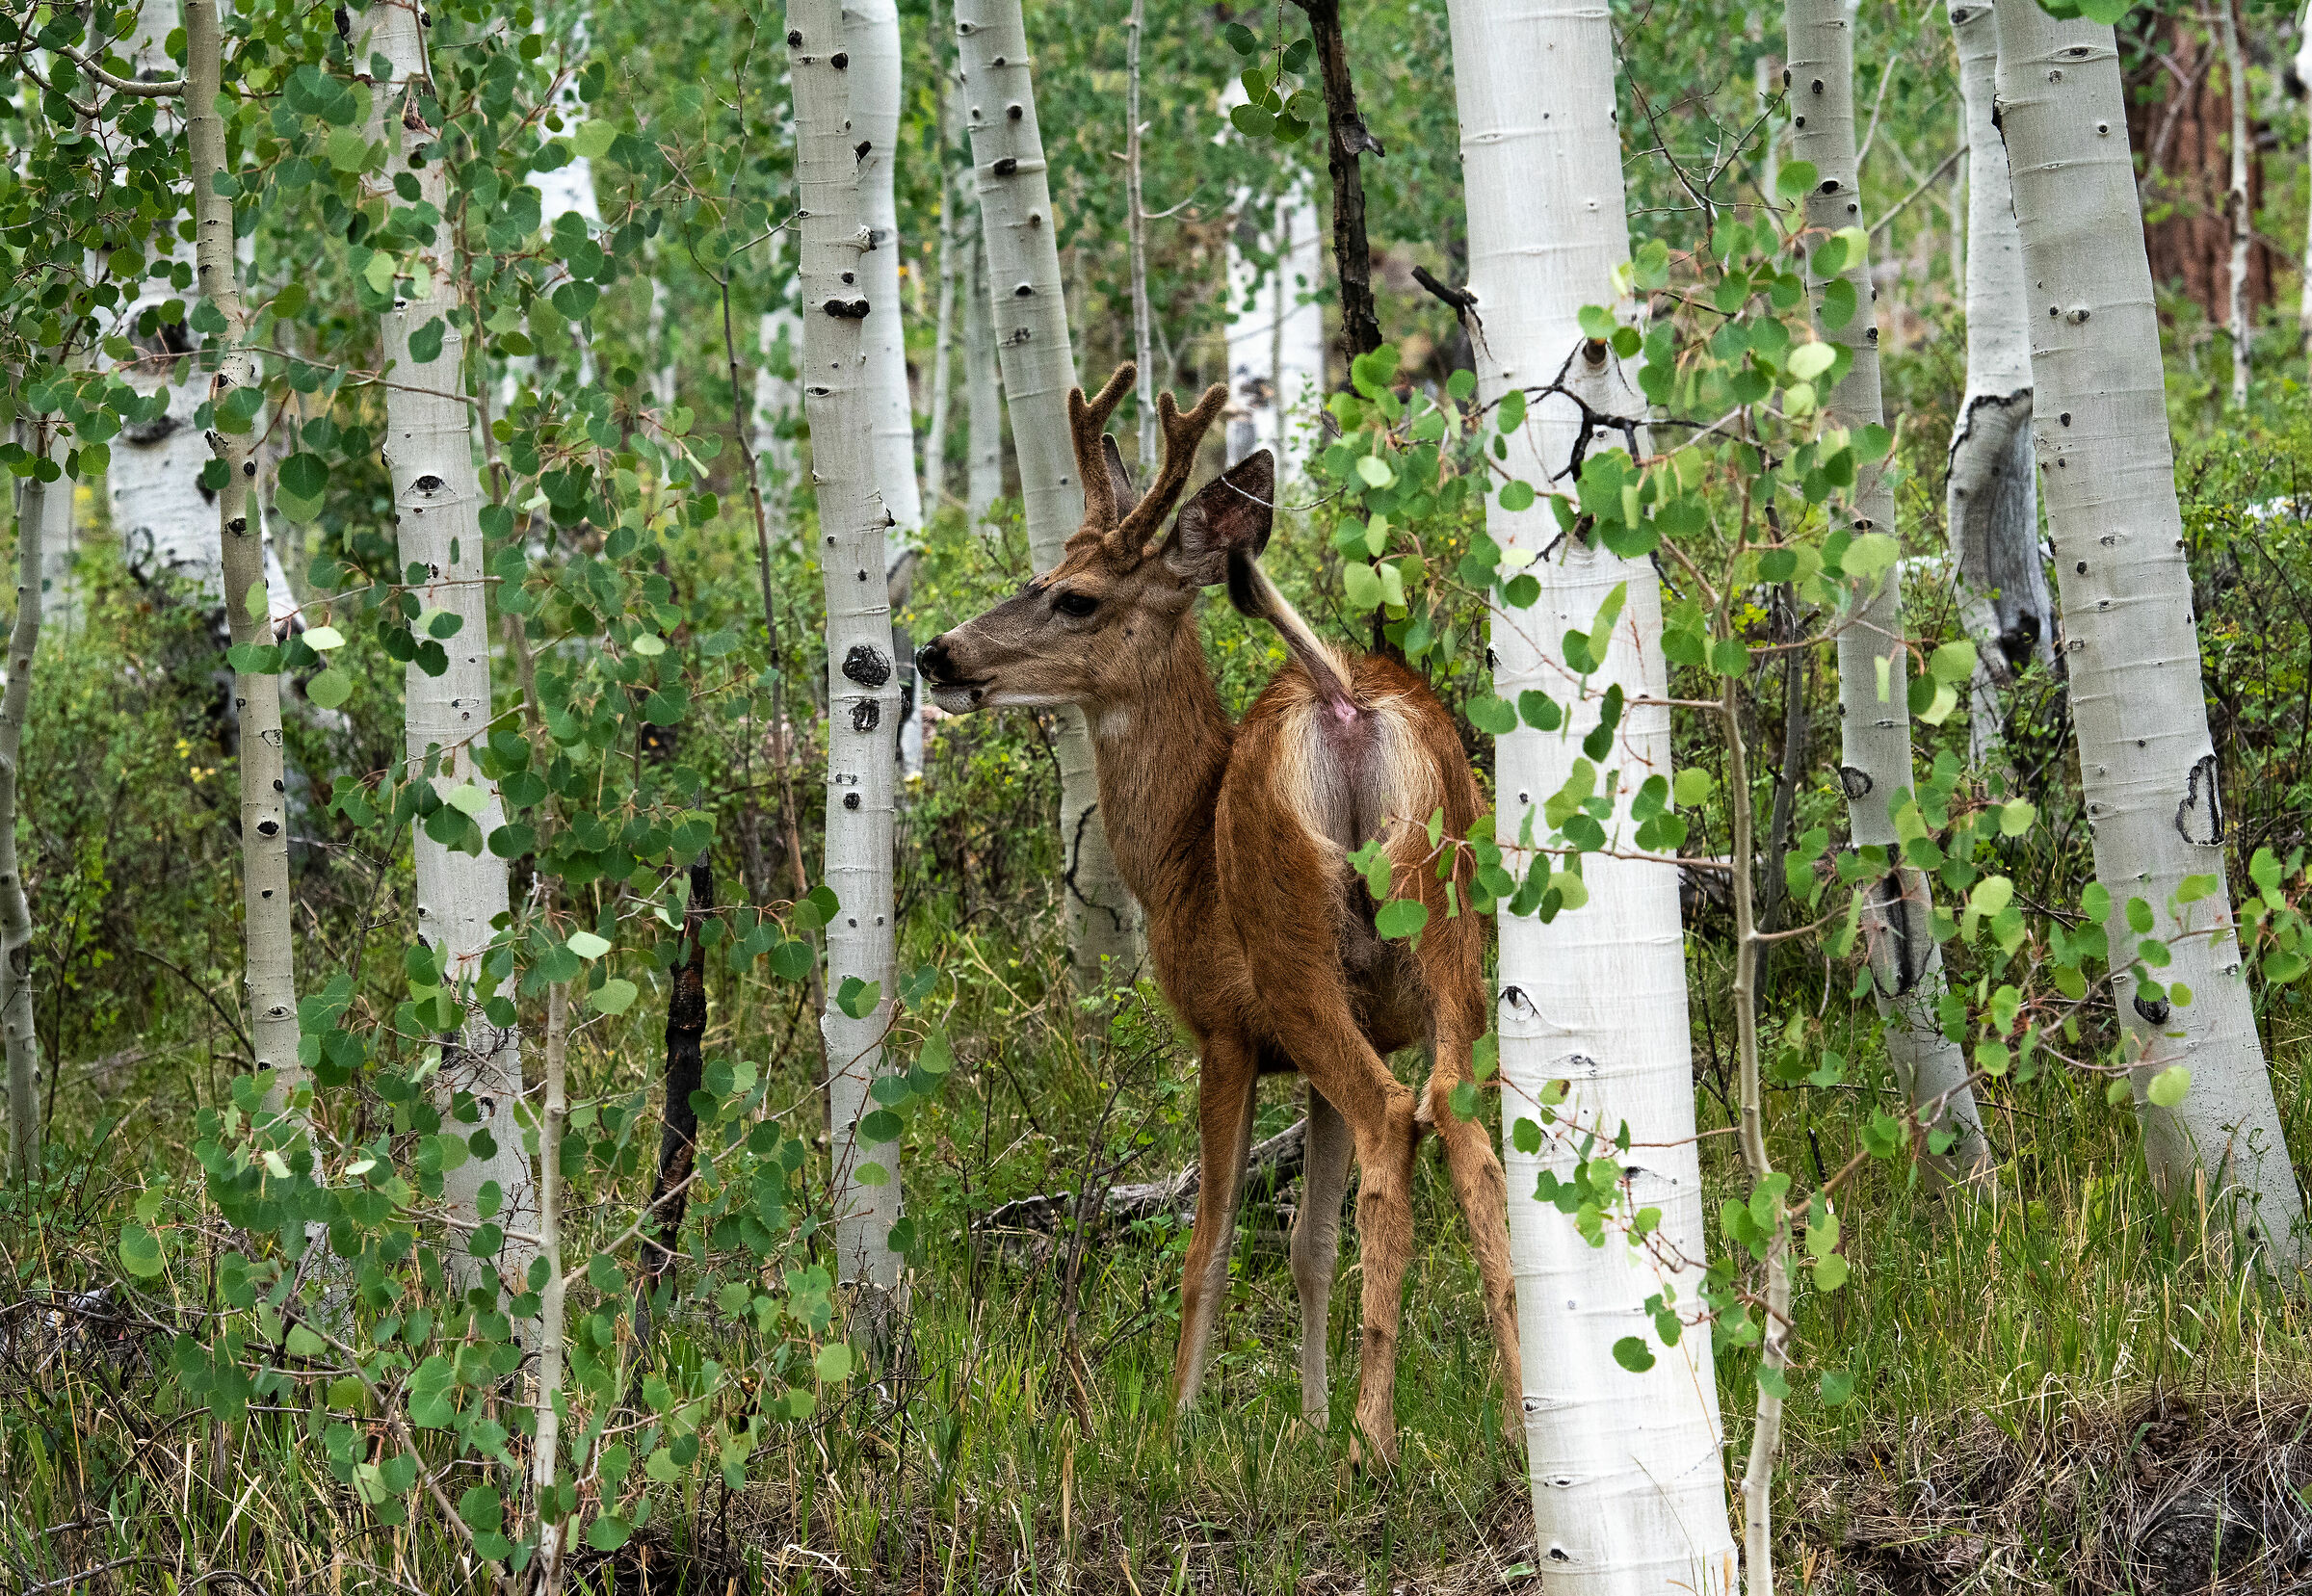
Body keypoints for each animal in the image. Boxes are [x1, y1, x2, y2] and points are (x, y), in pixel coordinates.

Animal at [915, 363, 1519, 1464]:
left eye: (1075, 595)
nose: (937, 653)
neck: (1176, 853)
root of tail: (1340, 694)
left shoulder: (1227, 1027)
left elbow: (1214, 1240)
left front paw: (1179, 1422)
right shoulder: (1349, 1029)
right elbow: (1309, 1241)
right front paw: (1309, 1415)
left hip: (1292, 948)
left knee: (1390, 1118)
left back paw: (1377, 1441)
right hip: (1448, 920)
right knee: (1460, 1125)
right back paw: (1514, 1415)